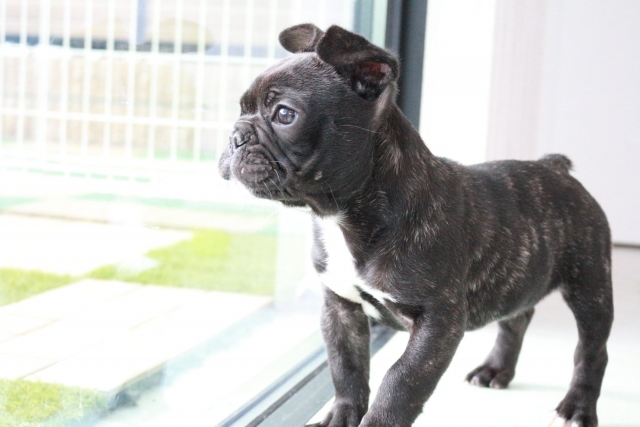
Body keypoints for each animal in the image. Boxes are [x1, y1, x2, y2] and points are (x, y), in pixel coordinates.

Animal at [218, 23, 613, 427]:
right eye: (241, 109)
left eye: (284, 114)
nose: (235, 135)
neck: (342, 215)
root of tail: (555, 167)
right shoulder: (340, 309)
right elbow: (345, 368)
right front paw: (340, 416)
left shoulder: (437, 322)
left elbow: (401, 380)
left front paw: (377, 422)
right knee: (517, 318)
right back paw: (495, 369)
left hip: (590, 286)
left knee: (592, 349)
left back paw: (578, 407)